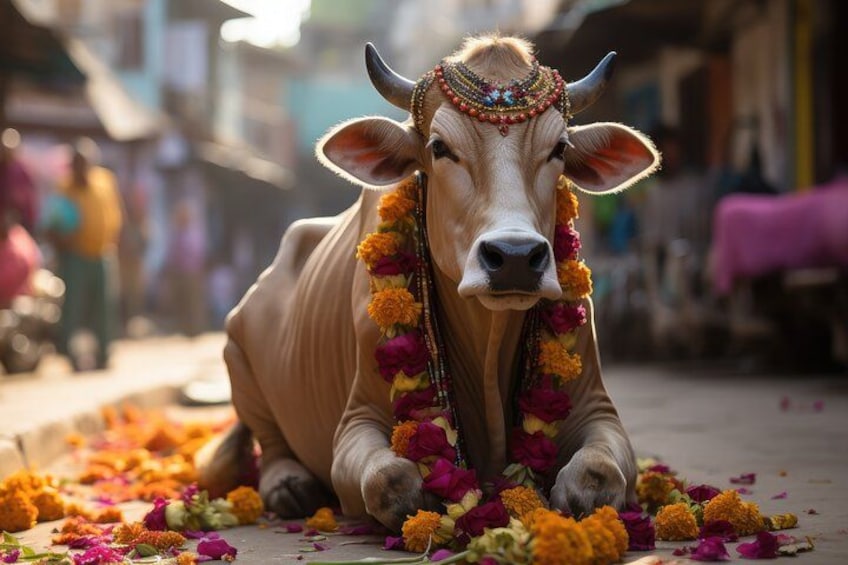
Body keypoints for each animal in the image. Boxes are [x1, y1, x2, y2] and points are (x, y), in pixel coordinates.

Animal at [199, 35, 659, 532]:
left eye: (559, 148)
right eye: (439, 148)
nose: (515, 258)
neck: (488, 340)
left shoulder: (597, 407)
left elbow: (597, 474)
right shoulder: (357, 419)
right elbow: (391, 481)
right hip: (237, 356)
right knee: (270, 443)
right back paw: (289, 485)